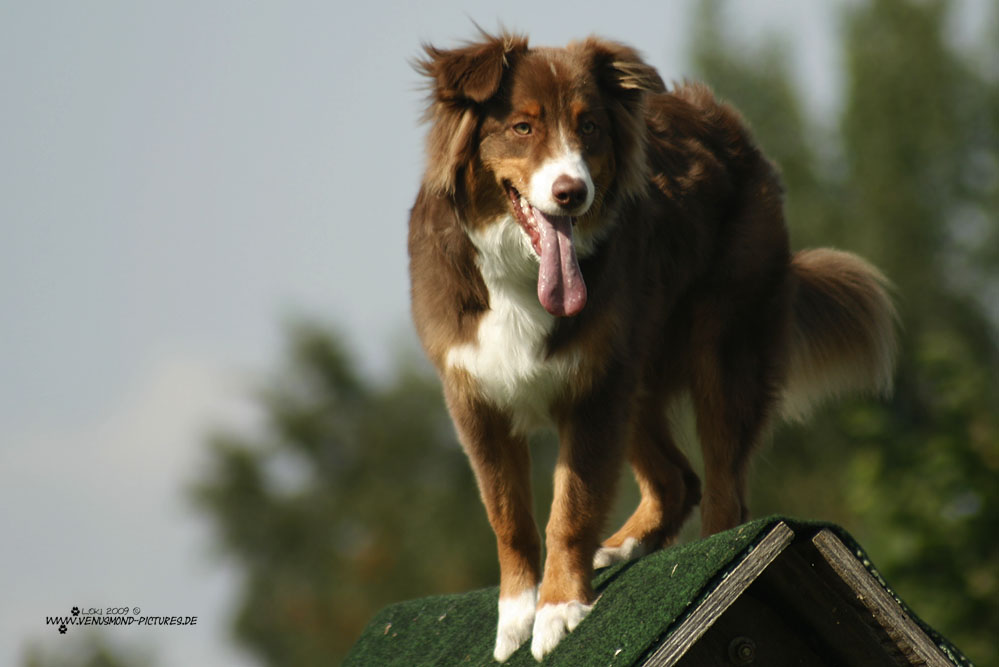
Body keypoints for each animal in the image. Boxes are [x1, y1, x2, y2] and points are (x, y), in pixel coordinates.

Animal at [406, 32, 900, 664]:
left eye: (589, 126)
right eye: (522, 127)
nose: (573, 192)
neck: (520, 270)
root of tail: (727, 123)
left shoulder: (594, 388)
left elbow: (570, 507)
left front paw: (558, 610)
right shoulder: (476, 396)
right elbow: (508, 515)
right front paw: (516, 618)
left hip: (722, 351)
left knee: (723, 489)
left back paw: (718, 558)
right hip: (635, 369)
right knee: (676, 479)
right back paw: (621, 547)